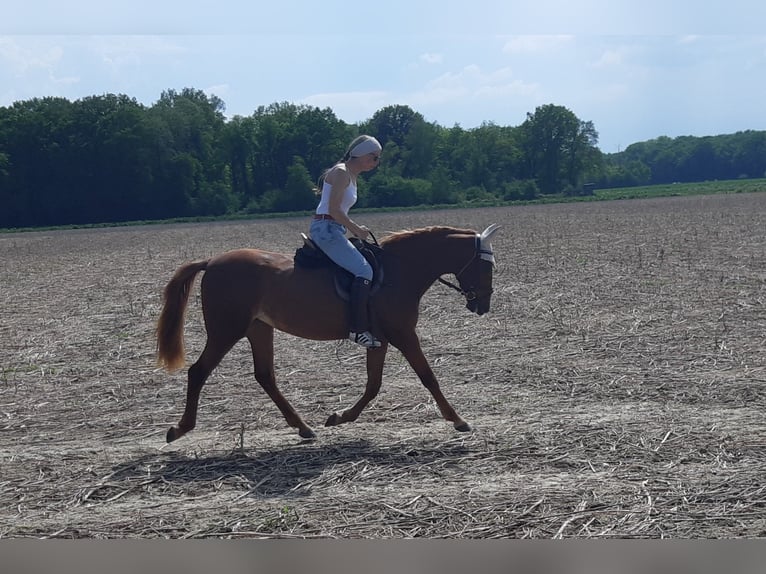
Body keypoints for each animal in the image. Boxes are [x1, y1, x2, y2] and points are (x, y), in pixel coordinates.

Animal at [158, 225, 504, 446]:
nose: (483, 305)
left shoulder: (380, 339)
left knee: (265, 376)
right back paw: (180, 429)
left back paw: (303, 427)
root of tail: (213, 261)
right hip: (226, 329)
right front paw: (457, 419)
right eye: (486, 266)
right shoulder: (404, 334)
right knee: (198, 371)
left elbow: (373, 385)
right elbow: (427, 376)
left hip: (258, 328)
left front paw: (340, 417)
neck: (399, 270)